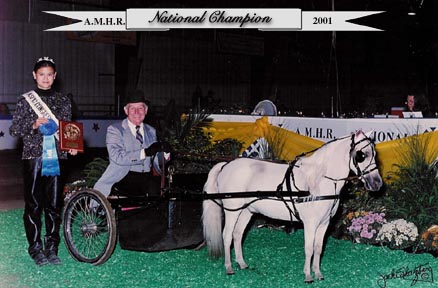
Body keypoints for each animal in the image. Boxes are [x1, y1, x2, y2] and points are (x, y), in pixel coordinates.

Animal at [203, 131, 384, 284]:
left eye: (374, 154)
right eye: (362, 155)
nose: (377, 183)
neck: (319, 181)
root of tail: (226, 165)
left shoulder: (324, 224)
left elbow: (318, 248)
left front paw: (318, 274)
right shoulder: (310, 224)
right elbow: (309, 249)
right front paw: (308, 276)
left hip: (246, 211)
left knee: (237, 234)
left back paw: (242, 264)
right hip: (232, 211)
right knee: (227, 235)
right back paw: (229, 268)